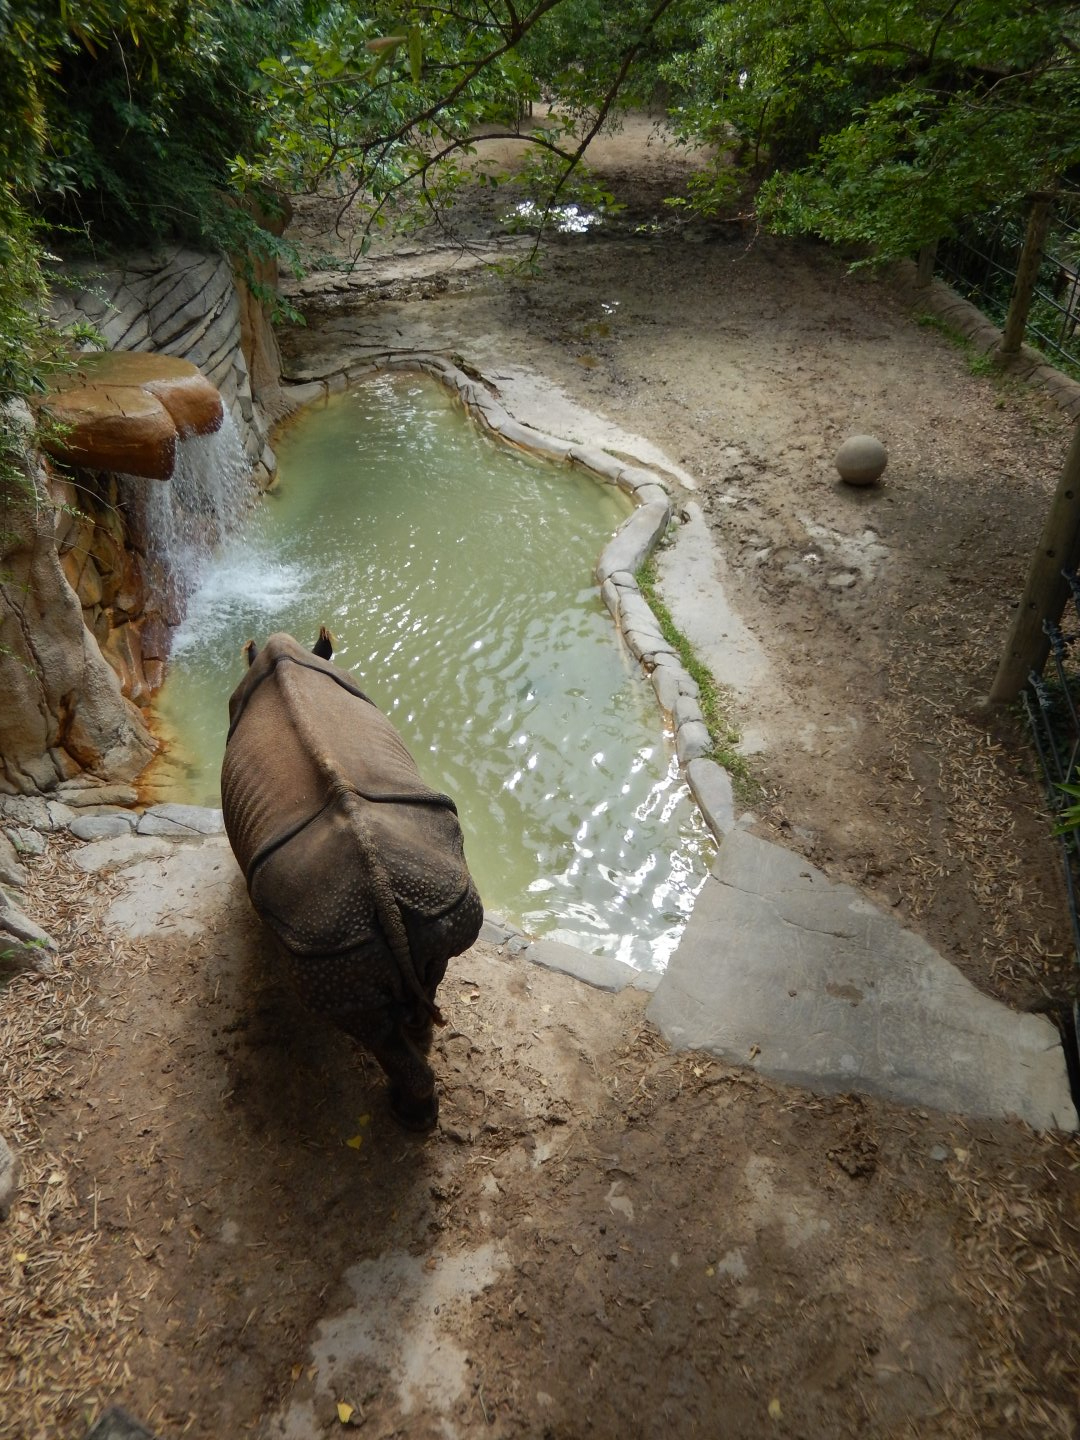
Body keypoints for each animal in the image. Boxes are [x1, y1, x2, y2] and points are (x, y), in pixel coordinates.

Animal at [220, 628, 483, 1130]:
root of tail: (377, 882)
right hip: (423, 898)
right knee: (429, 971)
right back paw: (419, 1070)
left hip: (335, 937)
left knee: (367, 1023)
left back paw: (406, 1116)